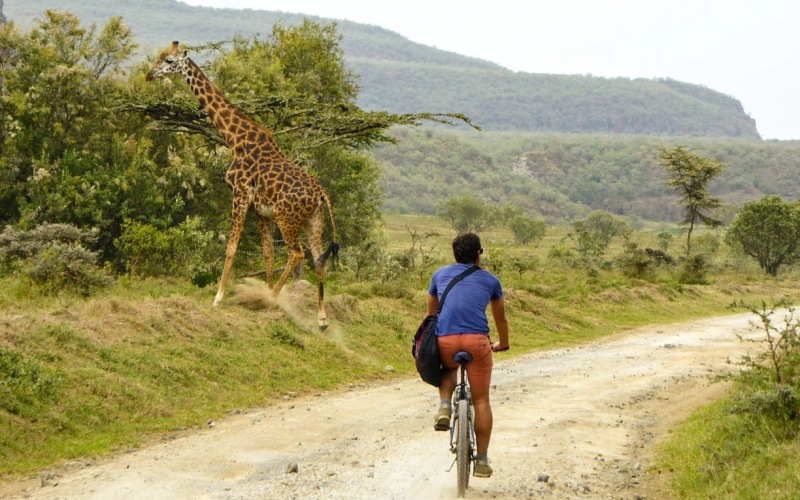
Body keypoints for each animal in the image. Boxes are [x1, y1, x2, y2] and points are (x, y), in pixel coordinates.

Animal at [147, 42, 338, 328]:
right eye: (159, 56)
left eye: (169, 61)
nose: (149, 74)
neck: (234, 137)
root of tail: (321, 194)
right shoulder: (261, 210)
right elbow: (268, 253)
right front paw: (262, 289)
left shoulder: (240, 194)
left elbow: (231, 247)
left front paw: (219, 297)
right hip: (313, 220)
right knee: (317, 258)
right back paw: (322, 318)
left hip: (287, 217)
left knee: (297, 254)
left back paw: (272, 299)